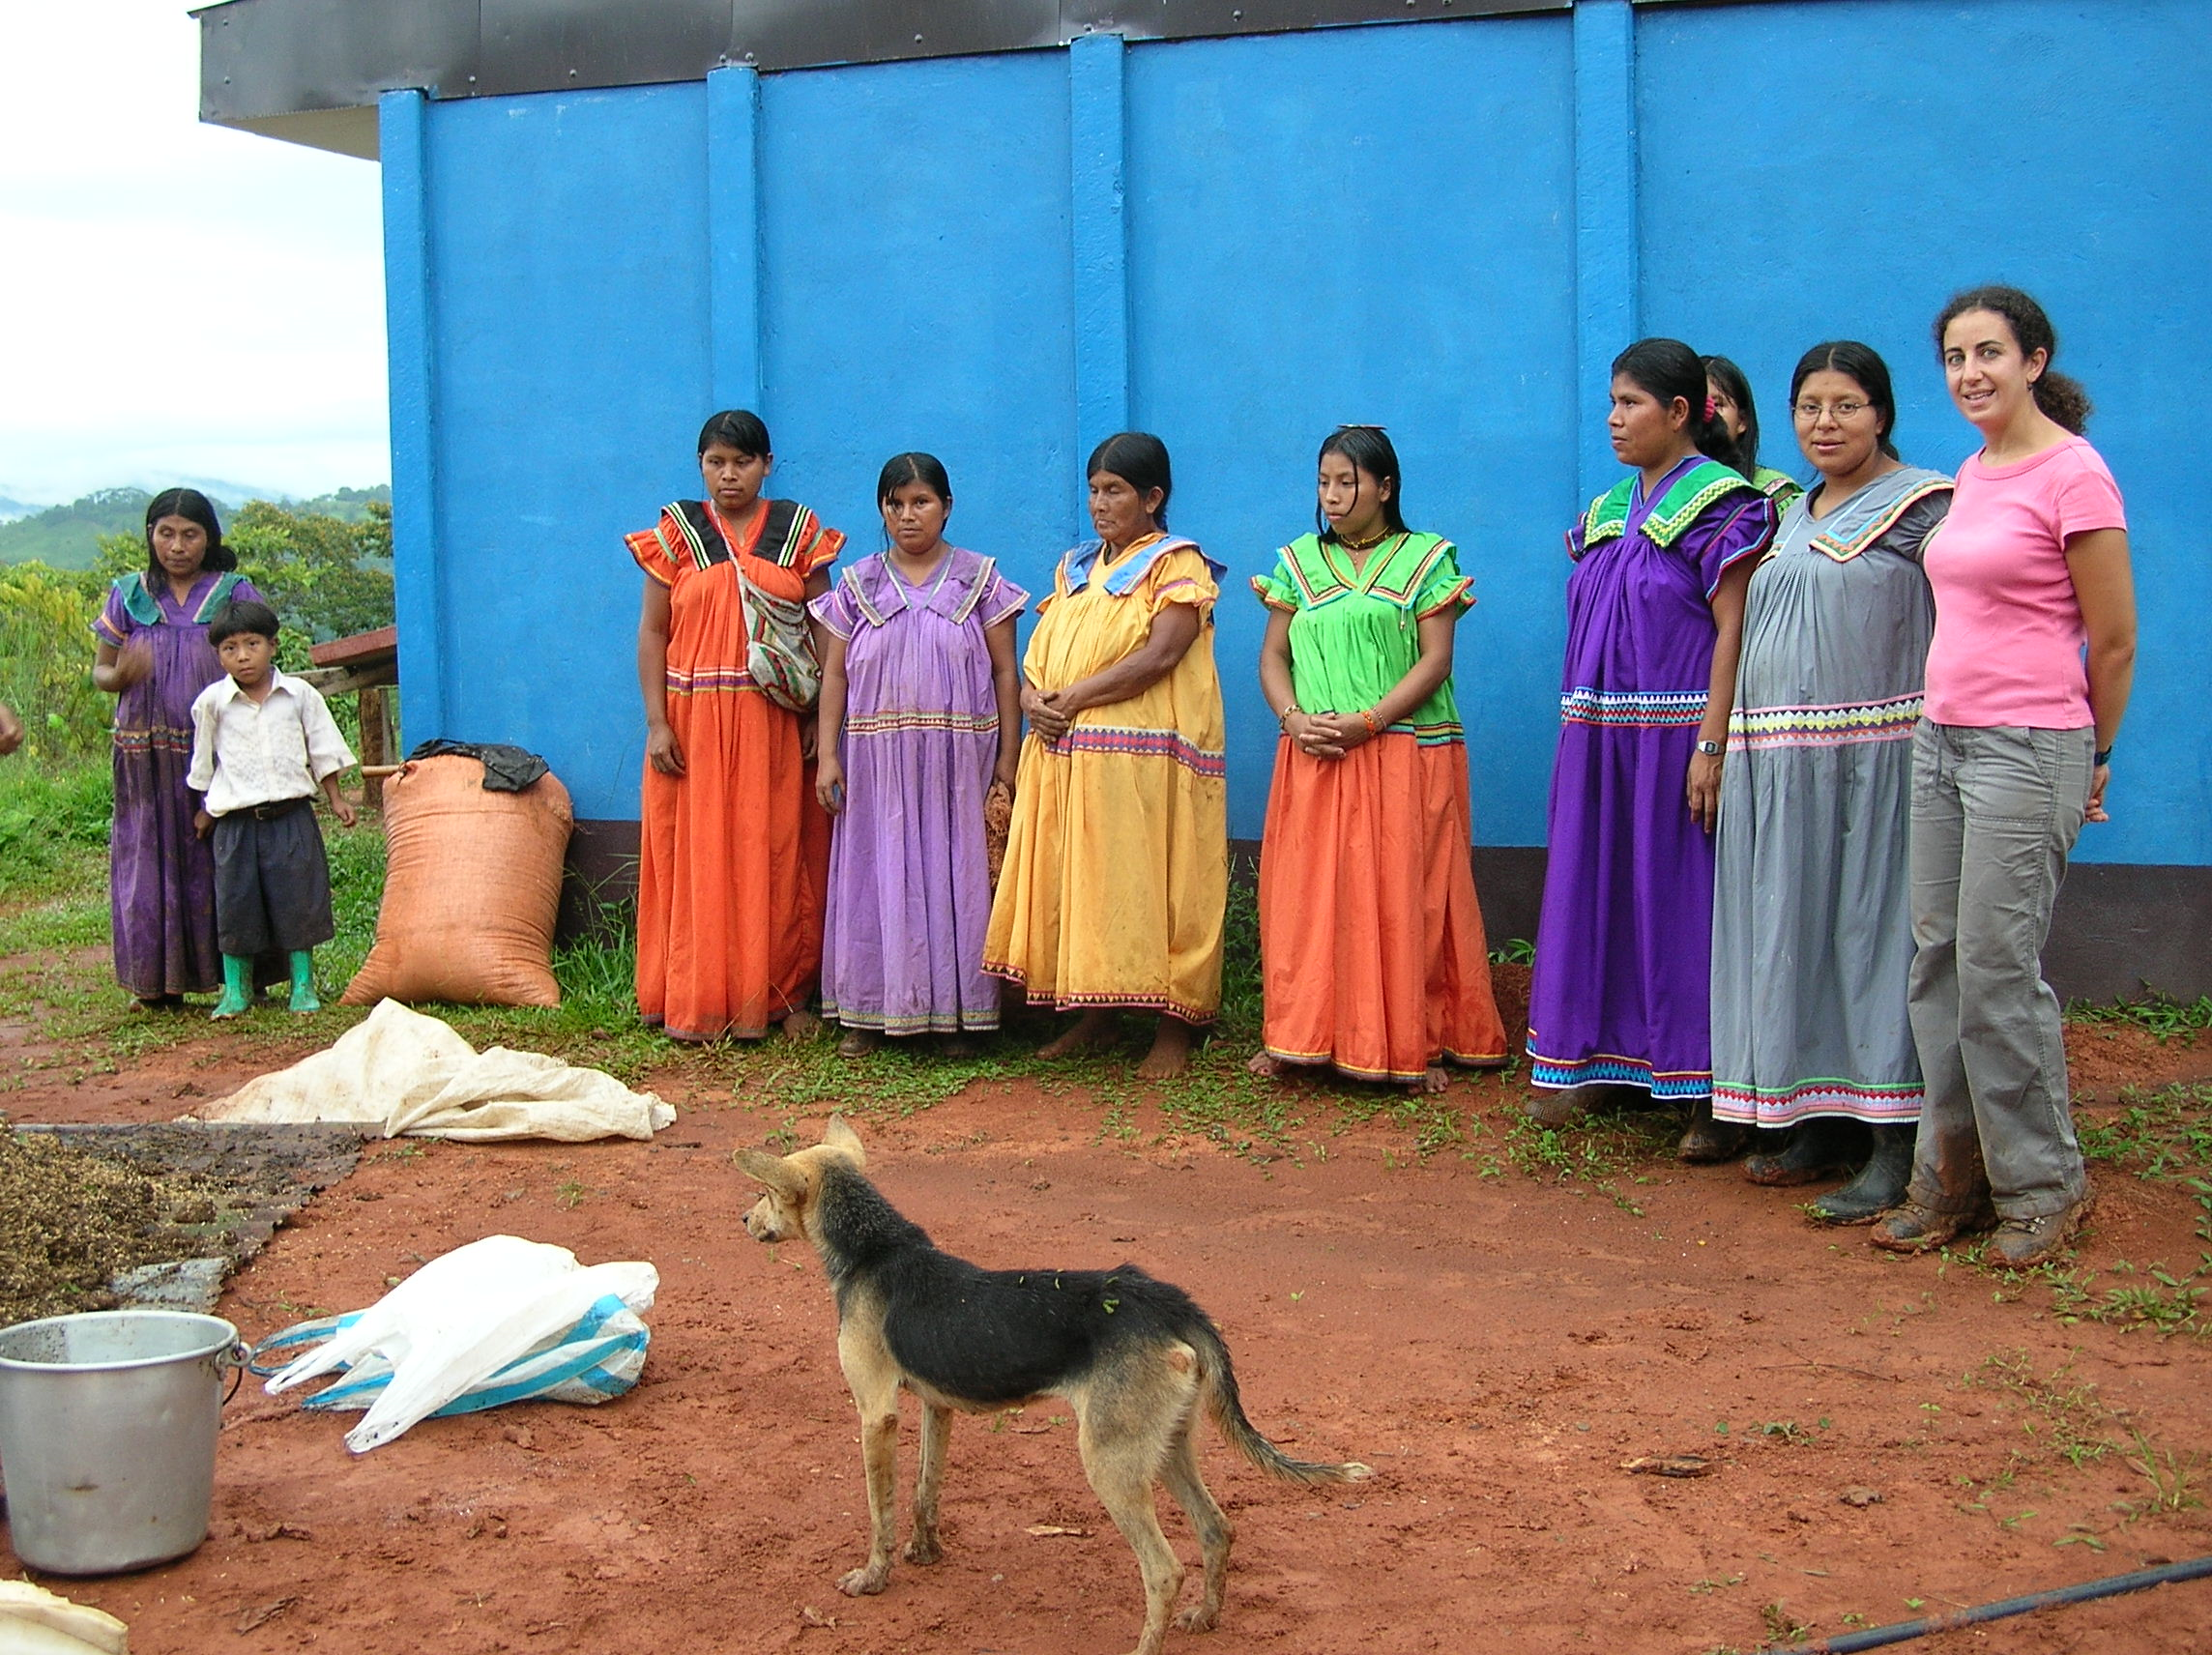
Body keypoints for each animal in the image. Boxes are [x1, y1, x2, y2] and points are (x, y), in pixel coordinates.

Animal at [739, 1119, 1362, 1645]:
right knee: (1217, 1529)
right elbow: (924, 1492)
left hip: (1109, 1463)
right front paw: (926, 1550)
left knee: (1163, 1570)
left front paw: (873, 1577)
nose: (743, 1220)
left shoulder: (875, 1413)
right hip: (1165, 1447)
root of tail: (1167, 1302)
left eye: (765, 1193)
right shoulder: (937, 1408)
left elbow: (879, 1511)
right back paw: (1206, 1617)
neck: (875, 1247)